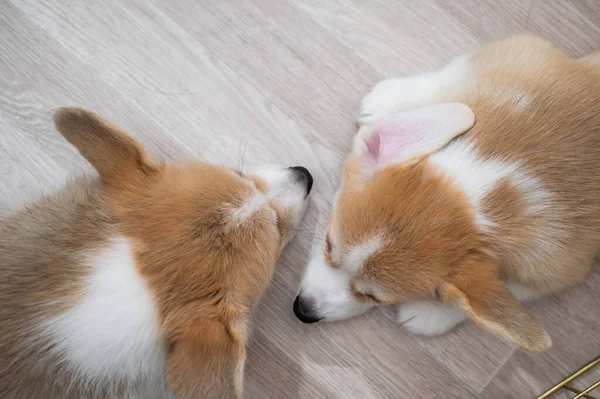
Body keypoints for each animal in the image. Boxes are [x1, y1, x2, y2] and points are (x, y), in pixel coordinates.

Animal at [294, 35, 600, 354]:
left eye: (373, 297)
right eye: (328, 246)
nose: (303, 310)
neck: (483, 183)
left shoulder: (562, 268)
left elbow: (501, 292)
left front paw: (430, 313)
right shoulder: (519, 53)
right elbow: (450, 88)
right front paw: (390, 100)